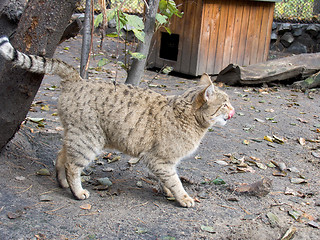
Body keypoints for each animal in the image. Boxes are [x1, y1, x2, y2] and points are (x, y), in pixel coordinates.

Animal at [0, 35, 235, 206]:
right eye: (224, 104)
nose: (233, 110)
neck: (188, 117)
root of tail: (77, 79)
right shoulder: (160, 159)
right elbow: (174, 180)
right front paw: (183, 198)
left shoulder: (166, 162)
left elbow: (168, 180)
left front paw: (169, 193)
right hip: (89, 139)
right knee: (72, 165)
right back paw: (77, 191)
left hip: (76, 135)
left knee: (61, 156)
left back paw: (63, 183)